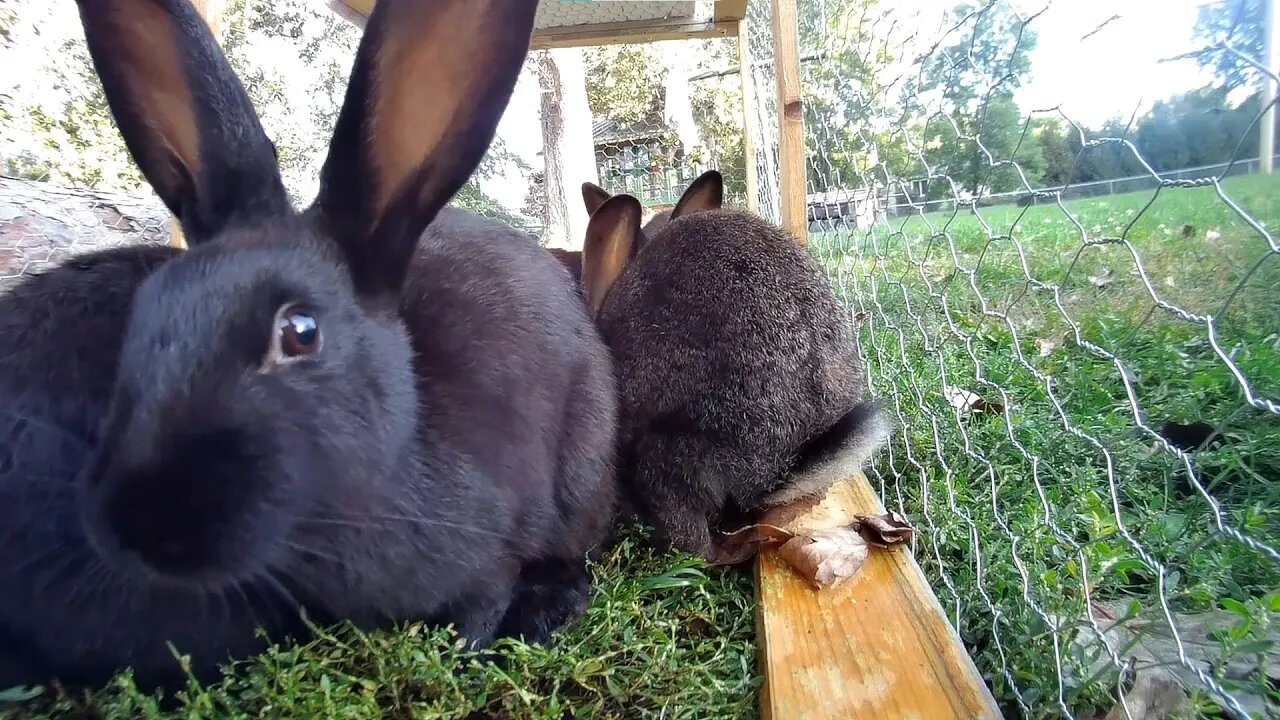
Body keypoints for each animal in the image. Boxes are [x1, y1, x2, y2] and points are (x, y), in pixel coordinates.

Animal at [0, 0, 616, 691]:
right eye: (144, 310)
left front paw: (467, 658)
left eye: (300, 332)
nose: (138, 526)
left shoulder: (493, 551)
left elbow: (480, 607)